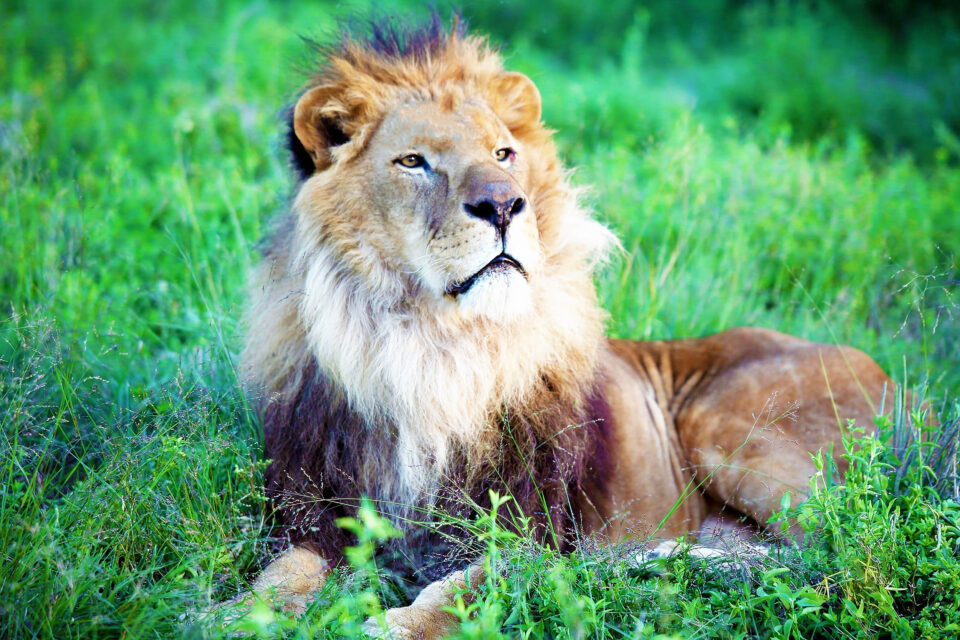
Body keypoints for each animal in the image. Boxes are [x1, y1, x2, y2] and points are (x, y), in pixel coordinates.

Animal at [237, 17, 893, 639]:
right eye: (413, 162)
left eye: (503, 155)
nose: (503, 206)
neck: (435, 349)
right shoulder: (324, 509)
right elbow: (284, 570)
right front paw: (239, 615)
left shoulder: (524, 528)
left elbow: (464, 588)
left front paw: (398, 625)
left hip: (727, 427)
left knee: (839, 552)